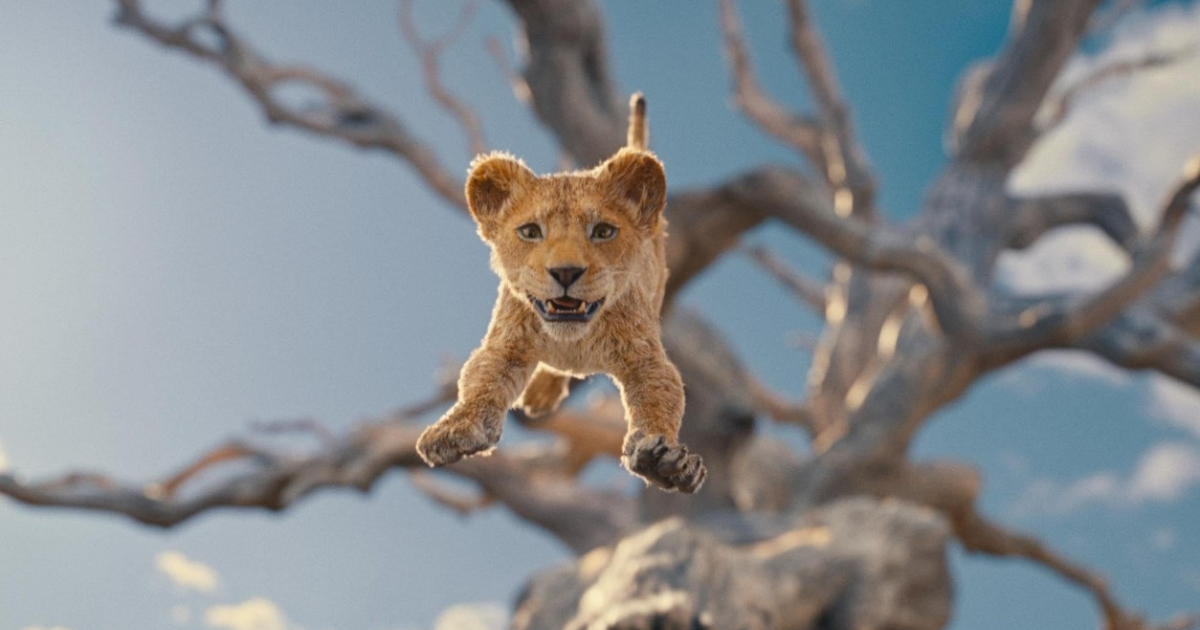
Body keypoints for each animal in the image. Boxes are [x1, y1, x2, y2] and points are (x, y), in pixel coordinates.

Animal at [415, 94, 707, 493]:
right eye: (530, 231)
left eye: (603, 231)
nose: (565, 272)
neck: (572, 339)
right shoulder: (506, 344)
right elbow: (480, 382)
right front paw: (454, 428)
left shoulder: (644, 357)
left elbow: (660, 398)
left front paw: (664, 460)